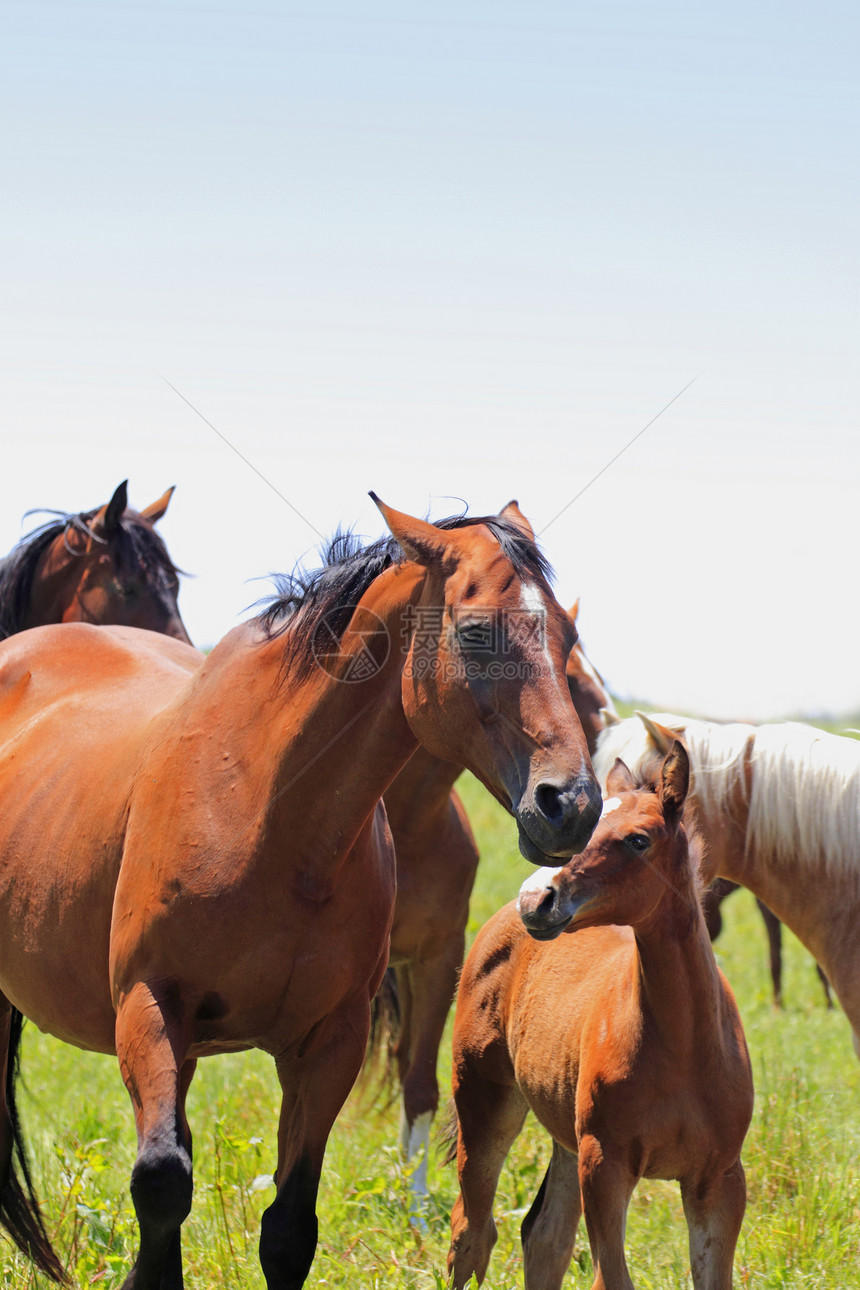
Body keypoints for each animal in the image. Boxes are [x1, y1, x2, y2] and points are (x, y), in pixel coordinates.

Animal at [443, 748, 752, 1290]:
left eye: (638, 839)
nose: (537, 899)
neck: (685, 1050)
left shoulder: (719, 1182)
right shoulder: (605, 1165)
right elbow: (612, 1277)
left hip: (567, 1134)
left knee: (544, 1238)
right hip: (485, 1103)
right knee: (471, 1236)